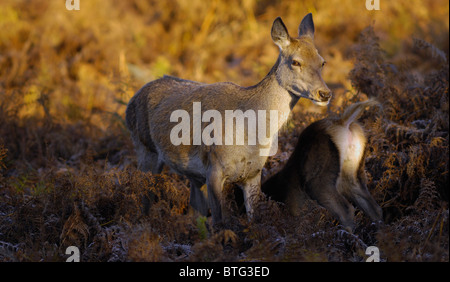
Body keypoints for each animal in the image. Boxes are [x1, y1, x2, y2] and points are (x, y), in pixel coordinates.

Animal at [125, 13, 332, 227]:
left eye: (322, 62)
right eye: (295, 62)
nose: (325, 93)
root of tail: (132, 100)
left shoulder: (253, 174)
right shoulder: (214, 168)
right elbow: (219, 223)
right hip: (145, 149)